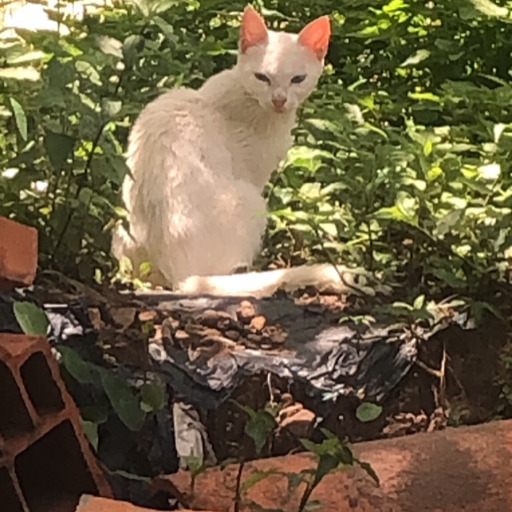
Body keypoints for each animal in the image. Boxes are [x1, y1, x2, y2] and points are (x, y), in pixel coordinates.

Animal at [112, 5, 370, 296]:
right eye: (262, 77)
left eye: (297, 79)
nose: (279, 99)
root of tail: (181, 275)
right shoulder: (255, 174)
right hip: (251, 200)